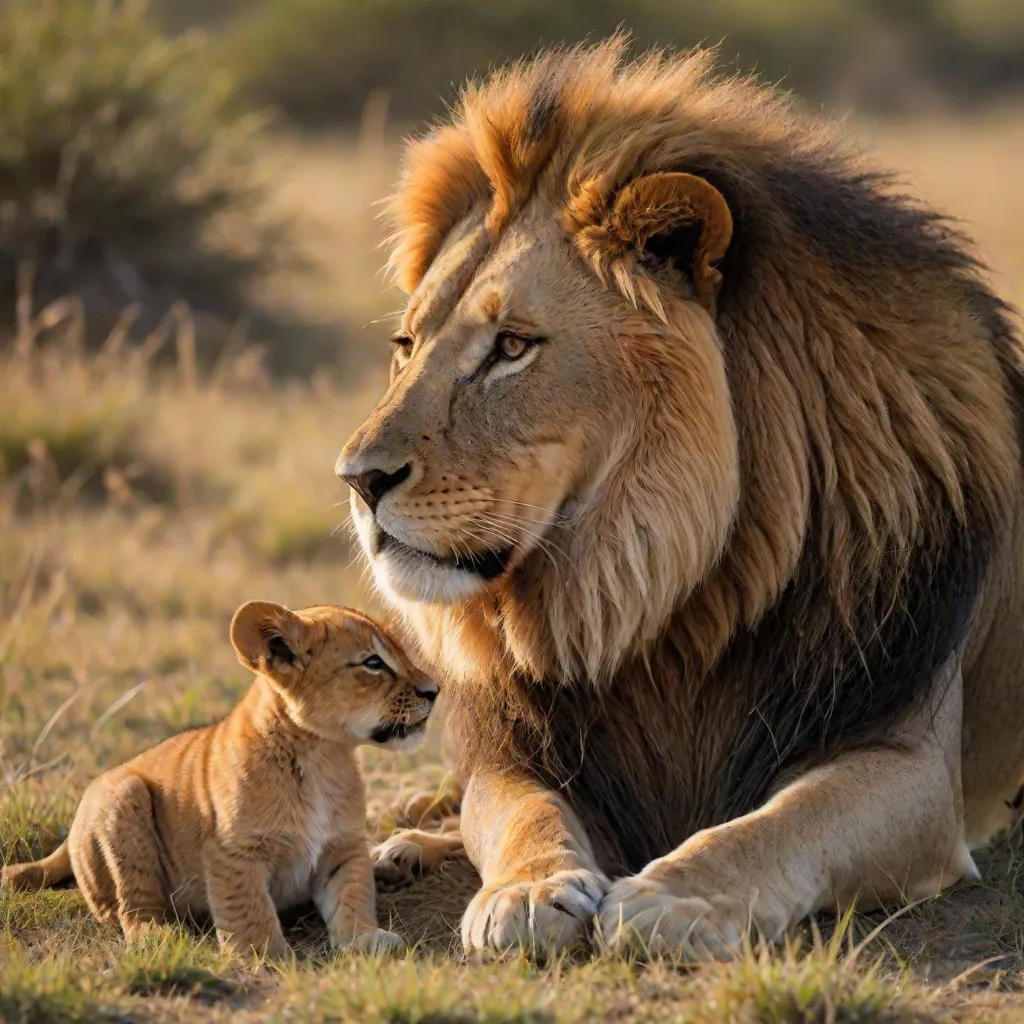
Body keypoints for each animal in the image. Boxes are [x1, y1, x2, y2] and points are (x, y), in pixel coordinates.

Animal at [2, 601, 438, 957]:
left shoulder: (343, 848)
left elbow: (353, 894)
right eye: (373, 663)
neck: (324, 757)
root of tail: (71, 832)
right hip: (124, 796)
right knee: (130, 909)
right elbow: (248, 907)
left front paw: (364, 938)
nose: (434, 690)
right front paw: (265, 956)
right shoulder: (234, 851)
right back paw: (160, 937)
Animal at [338, 38, 1024, 958]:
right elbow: (518, 813)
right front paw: (528, 888)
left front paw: (679, 897)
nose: (357, 478)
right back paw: (404, 843)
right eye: (407, 345)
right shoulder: (526, 751)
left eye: (512, 347)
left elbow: (781, 822)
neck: (652, 593)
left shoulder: (906, 761)